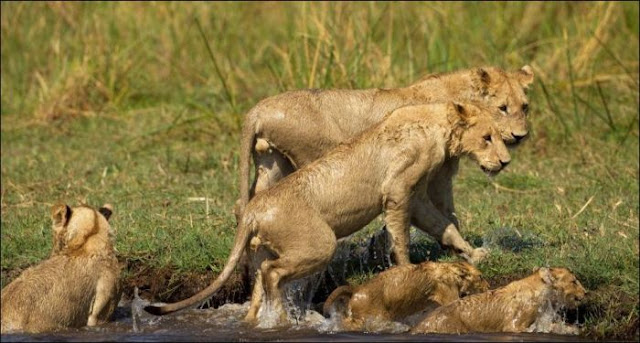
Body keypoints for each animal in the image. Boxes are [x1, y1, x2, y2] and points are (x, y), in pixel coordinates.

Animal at [236, 65, 536, 264]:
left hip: (272, 162)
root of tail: (257, 110)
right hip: (310, 161)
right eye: (502, 108)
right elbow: (447, 214)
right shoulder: (436, 175)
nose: (520, 137)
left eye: (525, 106)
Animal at [322, 262, 488, 332]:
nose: (488, 286)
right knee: (347, 323)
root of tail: (357, 288)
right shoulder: (448, 294)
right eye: (480, 276)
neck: (451, 271)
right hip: (368, 318)